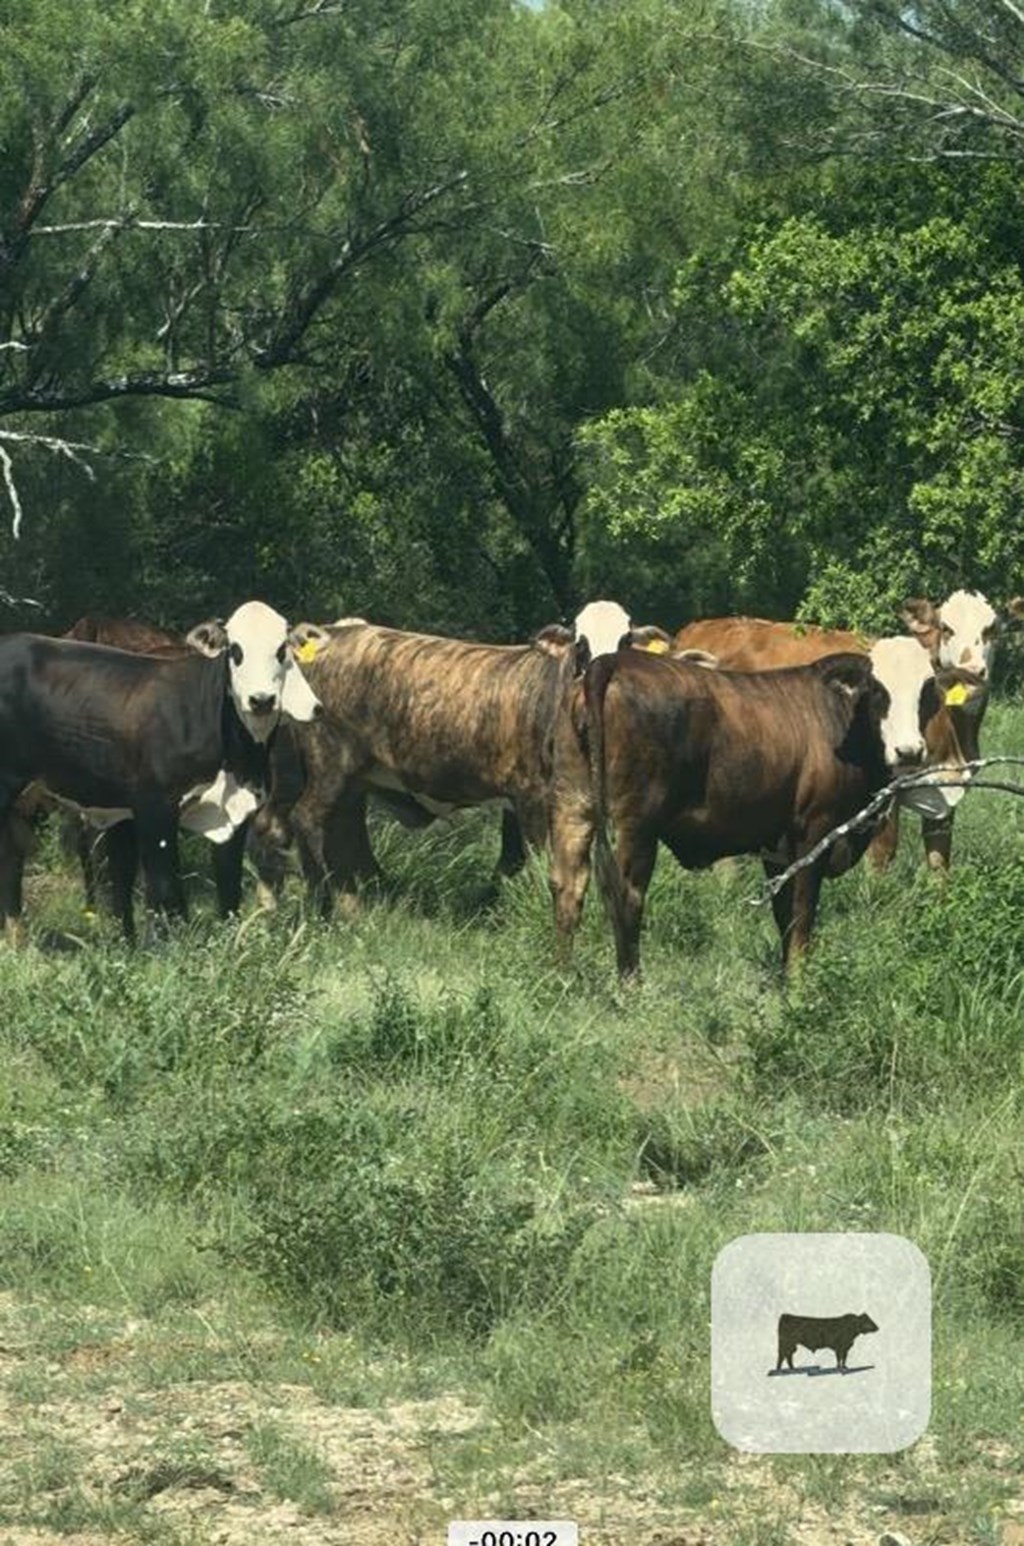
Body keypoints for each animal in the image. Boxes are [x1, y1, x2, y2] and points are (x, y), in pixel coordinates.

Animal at [0, 599, 321, 939]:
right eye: (235, 649)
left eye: (281, 649)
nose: (261, 700)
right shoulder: (154, 808)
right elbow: (165, 892)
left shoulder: (238, 814)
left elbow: (229, 891)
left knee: (11, 858)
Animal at [544, 643, 971, 977]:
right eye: (877, 689)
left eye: (927, 688)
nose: (909, 751)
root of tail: (610, 663)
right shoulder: (813, 835)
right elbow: (802, 915)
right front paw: (799, 986)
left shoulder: (777, 849)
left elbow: (783, 916)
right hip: (636, 825)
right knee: (627, 896)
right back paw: (631, 985)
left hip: (572, 806)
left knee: (568, 887)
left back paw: (564, 977)